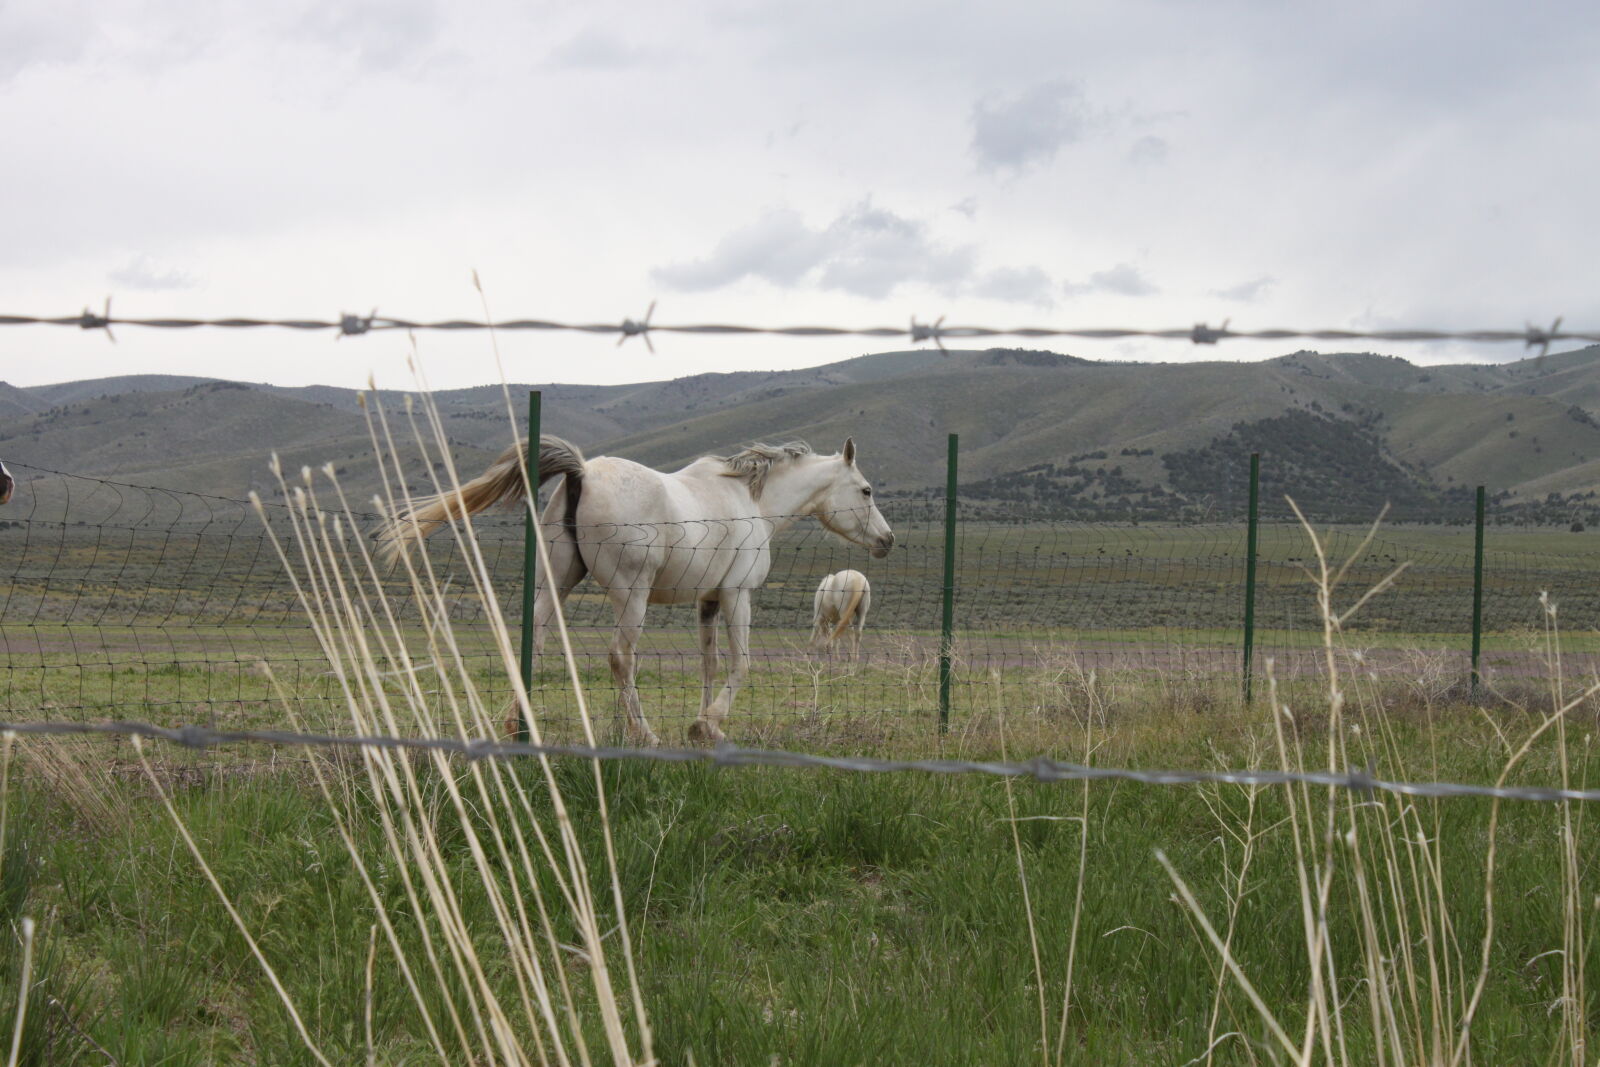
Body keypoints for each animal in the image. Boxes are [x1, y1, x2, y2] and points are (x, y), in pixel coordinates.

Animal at [378, 434, 894, 744]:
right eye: (866, 490)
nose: (887, 541)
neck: (753, 503)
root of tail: (582, 473)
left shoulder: (707, 601)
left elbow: (709, 664)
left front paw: (702, 727)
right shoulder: (736, 595)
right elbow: (741, 663)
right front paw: (709, 724)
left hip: (556, 583)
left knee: (535, 642)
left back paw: (515, 724)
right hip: (631, 595)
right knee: (620, 657)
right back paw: (643, 734)